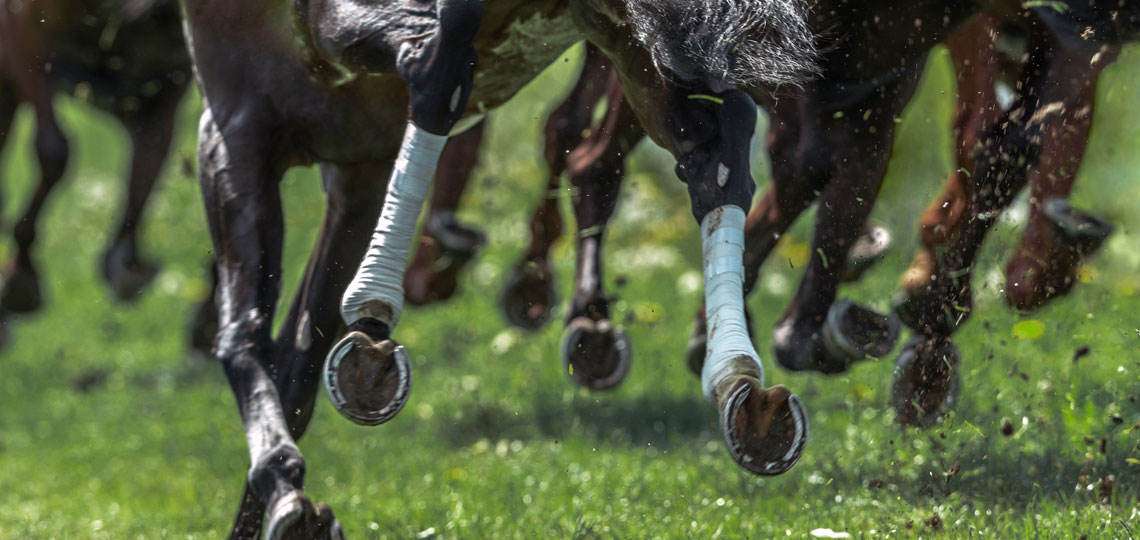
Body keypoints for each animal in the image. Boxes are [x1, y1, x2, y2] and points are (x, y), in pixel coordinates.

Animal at [0, 0, 190, 339]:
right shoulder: (23, 32)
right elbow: (54, 151)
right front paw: (21, 275)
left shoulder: (166, 78)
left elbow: (151, 158)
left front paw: (127, 264)